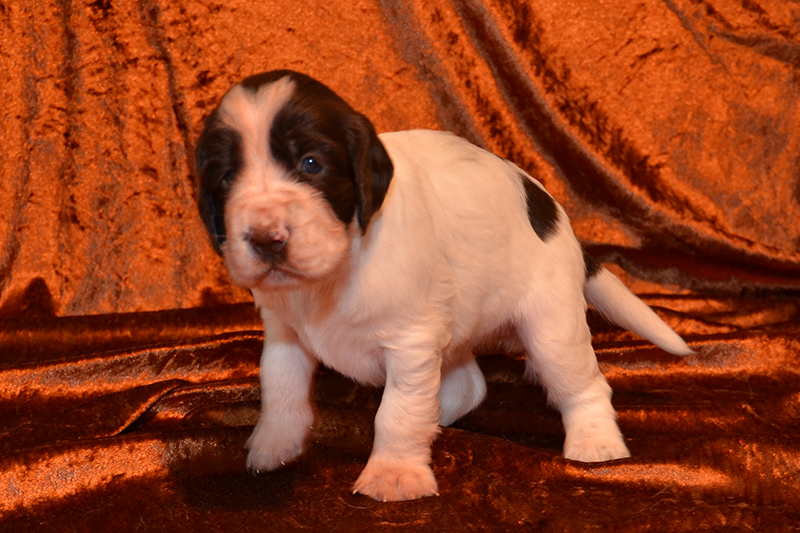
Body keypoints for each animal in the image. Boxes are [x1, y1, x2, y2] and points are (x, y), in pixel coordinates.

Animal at [195, 68, 692, 500]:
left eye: (311, 164)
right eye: (226, 177)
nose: (265, 239)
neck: (336, 272)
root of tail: (555, 213)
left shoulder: (410, 343)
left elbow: (397, 412)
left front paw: (394, 473)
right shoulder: (285, 334)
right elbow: (280, 391)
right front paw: (273, 448)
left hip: (552, 329)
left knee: (583, 386)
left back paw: (596, 444)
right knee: (467, 385)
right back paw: (439, 420)